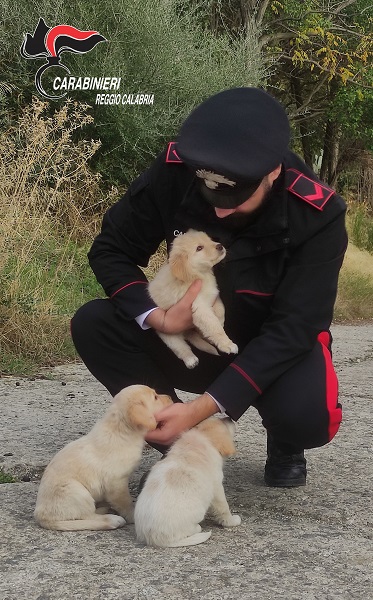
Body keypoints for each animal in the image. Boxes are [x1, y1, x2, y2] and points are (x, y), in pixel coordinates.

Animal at [34, 384, 171, 528]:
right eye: (155, 397)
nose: (170, 397)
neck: (120, 429)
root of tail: (41, 517)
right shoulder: (116, 483)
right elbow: (125, 503)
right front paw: (132, 515)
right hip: (77, 492)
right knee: (86, 516)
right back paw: (112, 519)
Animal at [134, 418, 241, 548]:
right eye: (224, 424)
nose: (229, 418)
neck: (201, 437)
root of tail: (153, 538)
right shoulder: (217, 488)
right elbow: (223, 508)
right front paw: (232, 521)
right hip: (198, 513)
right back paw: (197, 527)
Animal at [147, 230, 237, 370]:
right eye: (199, 248)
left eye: (209, 239)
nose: (220, 246)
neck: (201, 275)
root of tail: (186, 332)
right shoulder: (200, 308)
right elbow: (213, 327)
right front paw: (227, 344)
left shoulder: (213, 295)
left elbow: (220, 310)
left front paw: (221, 322)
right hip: (168, 334)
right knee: (180, 347)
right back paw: (190, 359)